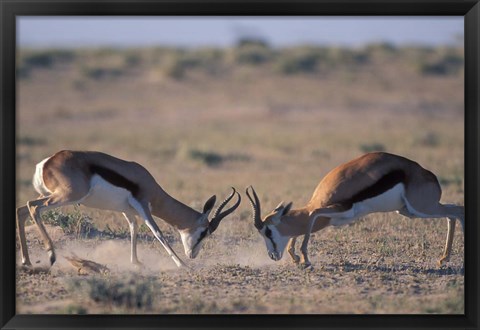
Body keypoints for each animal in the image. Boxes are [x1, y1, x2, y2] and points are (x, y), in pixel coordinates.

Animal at [16, 150, 242, 268]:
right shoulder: (143, 206)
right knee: (33, 208)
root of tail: (46, 163)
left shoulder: (128, 211)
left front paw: (136, 262)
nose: (192, 255)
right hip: (66, 197)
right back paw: (50, 255)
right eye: (204, 232)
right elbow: (157, 232)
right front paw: (181, 265)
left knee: (22, 210)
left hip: (51, 195)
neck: (148, 183)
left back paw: (27, 260)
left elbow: (133, 229)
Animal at [246, 152, 464, 268]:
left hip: (420, 209)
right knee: (453, 212)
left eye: (268, 231)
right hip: (408, 211)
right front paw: (296, 258)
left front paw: (305, 259)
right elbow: (306, 223)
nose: (272, 256)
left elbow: (312, 215)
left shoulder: (341, 210)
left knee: (457, 211)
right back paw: (443, 259)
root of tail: (430, 176)